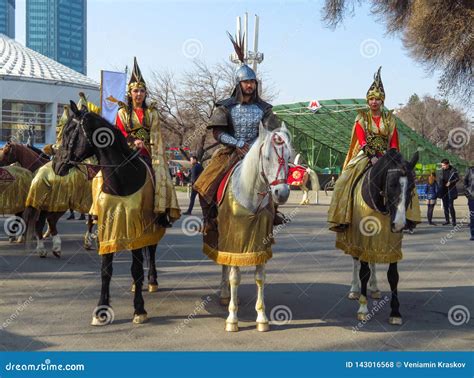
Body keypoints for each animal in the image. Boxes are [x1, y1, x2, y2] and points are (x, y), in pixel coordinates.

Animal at [52, 102, 165, 324]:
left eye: (69, 132)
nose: (56, 164)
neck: (121, 179)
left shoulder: (136, 228)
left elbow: (136, 268)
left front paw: (139, 309)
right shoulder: (107, 227)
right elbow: (106, 270)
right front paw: (101, 310)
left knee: (152, 250)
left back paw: (152, 281)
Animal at [208, 122, 290, 332]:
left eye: (288, 157)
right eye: (267, 157)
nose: (282, 193)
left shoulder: (261, 244)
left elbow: (260, 277)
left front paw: (262, 318)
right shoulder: (233, 242)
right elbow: (234, 277)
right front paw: (232, 319)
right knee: (225, 265)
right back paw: (225, 294)